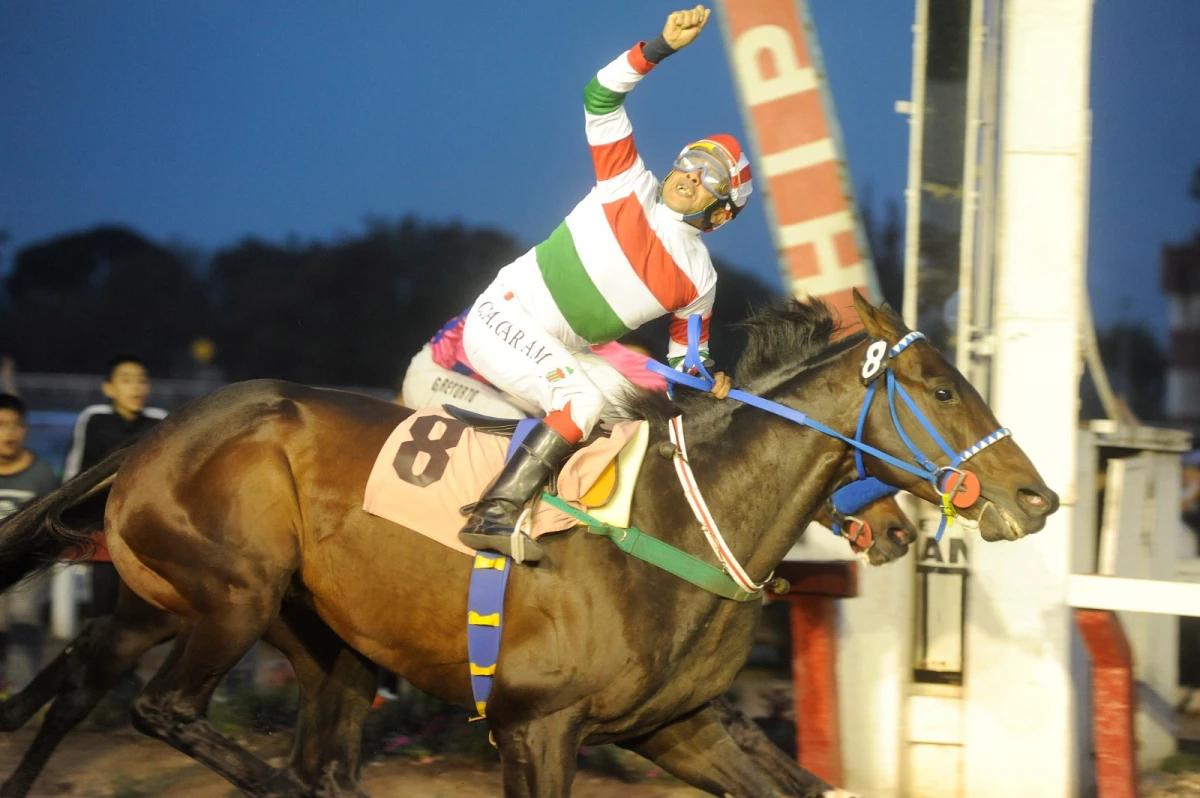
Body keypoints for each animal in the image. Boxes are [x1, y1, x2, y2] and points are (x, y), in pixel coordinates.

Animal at [0, 292, 1051, 796]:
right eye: (942, 386)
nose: (1035, 497)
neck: (676, 518)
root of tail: (157, 434)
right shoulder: (537, 726)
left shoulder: (680, 725)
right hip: (231, 596)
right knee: (162, 710)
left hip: (320, 639)